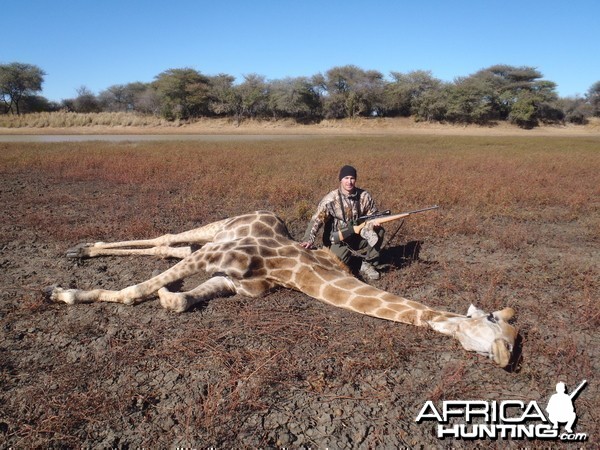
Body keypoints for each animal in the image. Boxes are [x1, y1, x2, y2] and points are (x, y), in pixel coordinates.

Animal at [47, 210, 516, 366]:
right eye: (496, 325)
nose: (505, 361)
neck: (294, 270)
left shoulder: (239, 284)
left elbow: (179, 301)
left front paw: (171, 296)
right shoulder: (214, 258)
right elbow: (134, 291)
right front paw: (65, 293)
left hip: (212, 239)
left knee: (170, 246)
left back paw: (81, 250)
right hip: (216, 230)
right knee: (169, 239)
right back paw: (80, 251)